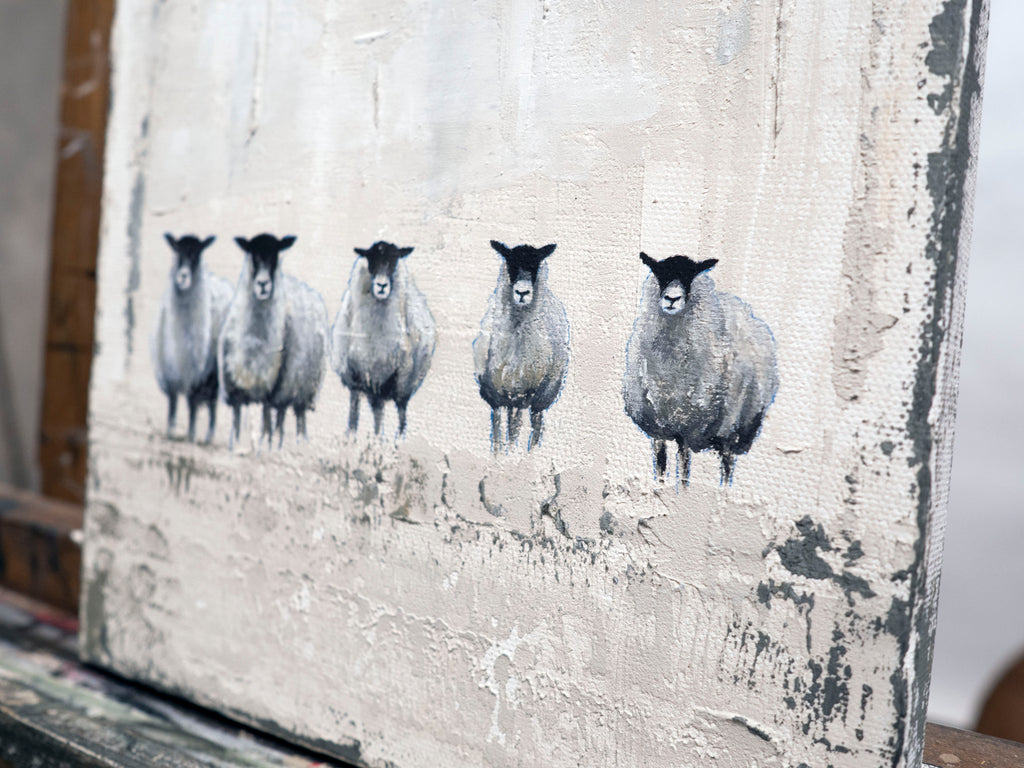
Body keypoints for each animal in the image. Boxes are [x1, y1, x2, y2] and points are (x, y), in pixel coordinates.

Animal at [150, 233, 232, 443]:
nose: (183, 276)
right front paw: (171, 431)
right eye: (177, 251)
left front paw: (192, 434)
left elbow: (193, 405)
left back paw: (208, 436)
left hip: (213, 374)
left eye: (197, 254)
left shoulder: (197, 374)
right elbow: (172, 405)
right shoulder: (170, 374)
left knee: (211, 404)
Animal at [218, 234, 328, 449]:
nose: (263, 284)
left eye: (275, 256)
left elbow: (267, 420)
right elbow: (237, 420)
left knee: (295, 416)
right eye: (253, 254)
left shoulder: (272, 388)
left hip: (300, 387)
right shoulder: (235, 388)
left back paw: (295, 442)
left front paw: (266, 445)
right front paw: (236, 445)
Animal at [330, 240, 436, 437]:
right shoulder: (356, 377)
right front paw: (352, 437)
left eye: (394, 259)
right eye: (370, 259)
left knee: (399, 411)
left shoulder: (396, 376)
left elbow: (392, 416)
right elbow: (354, 416)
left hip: (404, 382)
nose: (381, 286)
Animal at [473, 240, 569, 452]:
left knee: (536, 424)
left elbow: (515, 429)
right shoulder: (495, 394)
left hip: (544, 394)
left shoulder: (524, 391)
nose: (522, 293)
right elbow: (498, 429)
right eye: (511, 263)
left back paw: (530, 453)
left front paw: (512, 454)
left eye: (535, 265)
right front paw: (498, 455)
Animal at [623, 252, 778, 484]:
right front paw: (659, 487)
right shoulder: (657, 430)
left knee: (727, 465)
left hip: (734, 427)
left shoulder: (687, 428)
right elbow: (660, 469)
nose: (672, 299)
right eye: (660, 274)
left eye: (691, 276)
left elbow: (683, 471)